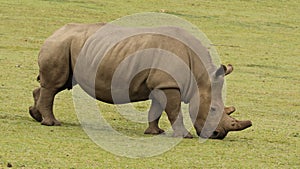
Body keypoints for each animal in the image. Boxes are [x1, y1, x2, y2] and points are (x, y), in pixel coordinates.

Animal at [29, 22, 252, 139]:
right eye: (213, 109)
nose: (218, 134)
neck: (200, 75)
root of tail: (54, 32)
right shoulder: (168, 84)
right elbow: (174, 110)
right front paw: (184, 136)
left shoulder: (160, 84)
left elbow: (156, 109)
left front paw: (155, 132)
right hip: (60, 45)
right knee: (54, 86)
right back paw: (52, 123)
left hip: (68, 45)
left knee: (56, 85)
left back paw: (36, 116)